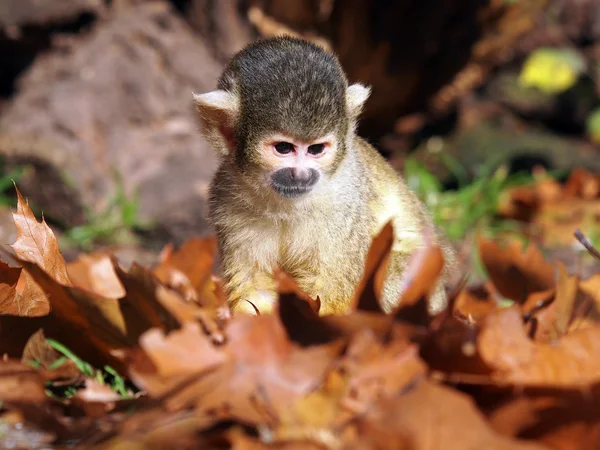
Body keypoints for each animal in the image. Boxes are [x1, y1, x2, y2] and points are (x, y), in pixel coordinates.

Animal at [195, 35, 458, 316]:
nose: (300, 174)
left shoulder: (345, 205)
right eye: (284, 148)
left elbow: (331, 292)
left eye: (316, 149)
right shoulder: (227, 201)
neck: (285, 205)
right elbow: (254, 287)